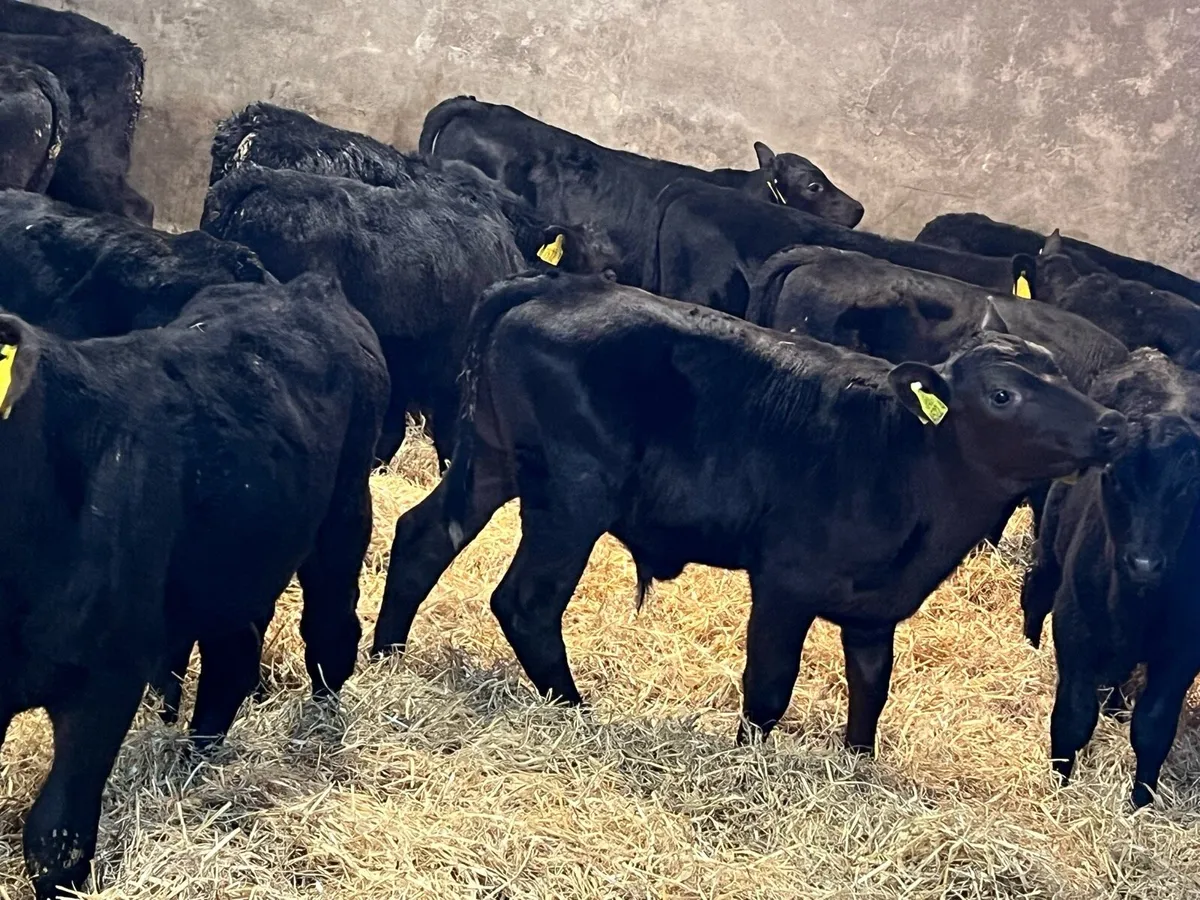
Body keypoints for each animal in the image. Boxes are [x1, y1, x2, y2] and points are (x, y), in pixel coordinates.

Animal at [0, 272, 388, 900]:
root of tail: (307, 287)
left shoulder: (107, 678)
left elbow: (57, 839)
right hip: (234, 561)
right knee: (233, 659)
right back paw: (195, 761)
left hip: (344, 513)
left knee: (331, 629)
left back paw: (321, 728)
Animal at [370, 270, 1127, 765]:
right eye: (1003, 394)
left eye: (1060, 374)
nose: (1112, 425)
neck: (906, 456)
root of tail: (547, 286)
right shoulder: (786, 583)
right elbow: (768, 686)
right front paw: (748, 765)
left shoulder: (875, 607)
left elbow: (871, 688)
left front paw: (859, 773)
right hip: (571, 497)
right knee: (526, 600)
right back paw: (575, 708)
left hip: (490, 462)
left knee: (422, 536)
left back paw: (386, 654)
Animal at [1020, 349, 1200, 808]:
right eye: (1114, 477)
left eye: (1188, 488)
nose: (1144, 563)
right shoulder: (1075, 625)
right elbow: (1072, 717)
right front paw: (1059, 788)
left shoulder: (1184, 649)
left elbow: (1153, 727)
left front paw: (1140, 802)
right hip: (1050, 545)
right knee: (1035, 590)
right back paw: (1028, 647)